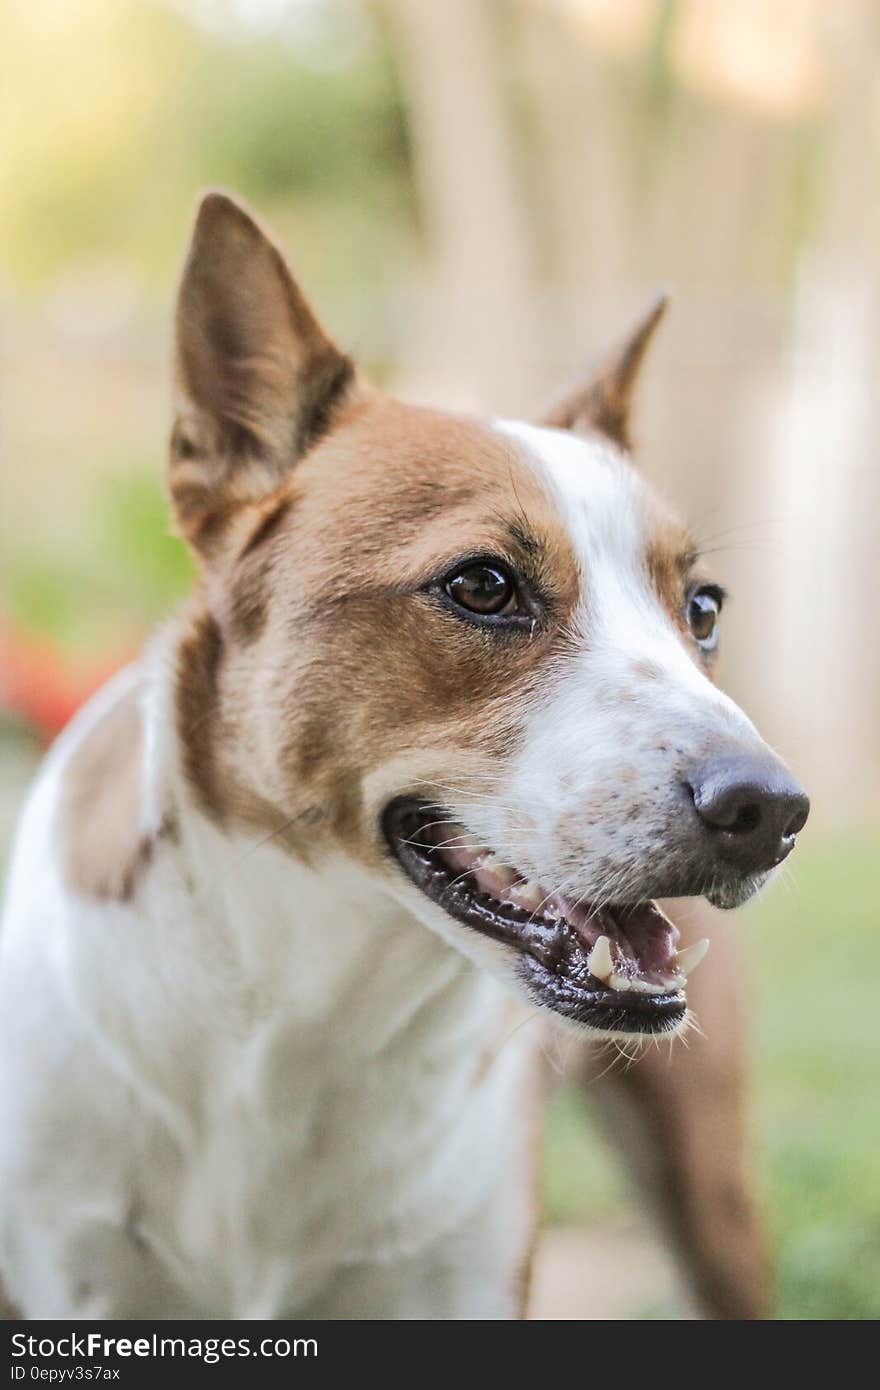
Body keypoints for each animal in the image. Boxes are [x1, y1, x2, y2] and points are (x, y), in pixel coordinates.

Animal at [0, 193, 806, 1312]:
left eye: (703, 609)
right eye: (482, 586)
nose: (771, 808)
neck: (309, 1010)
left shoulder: (462, 1274)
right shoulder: (74, 1275)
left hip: (709, 1176)